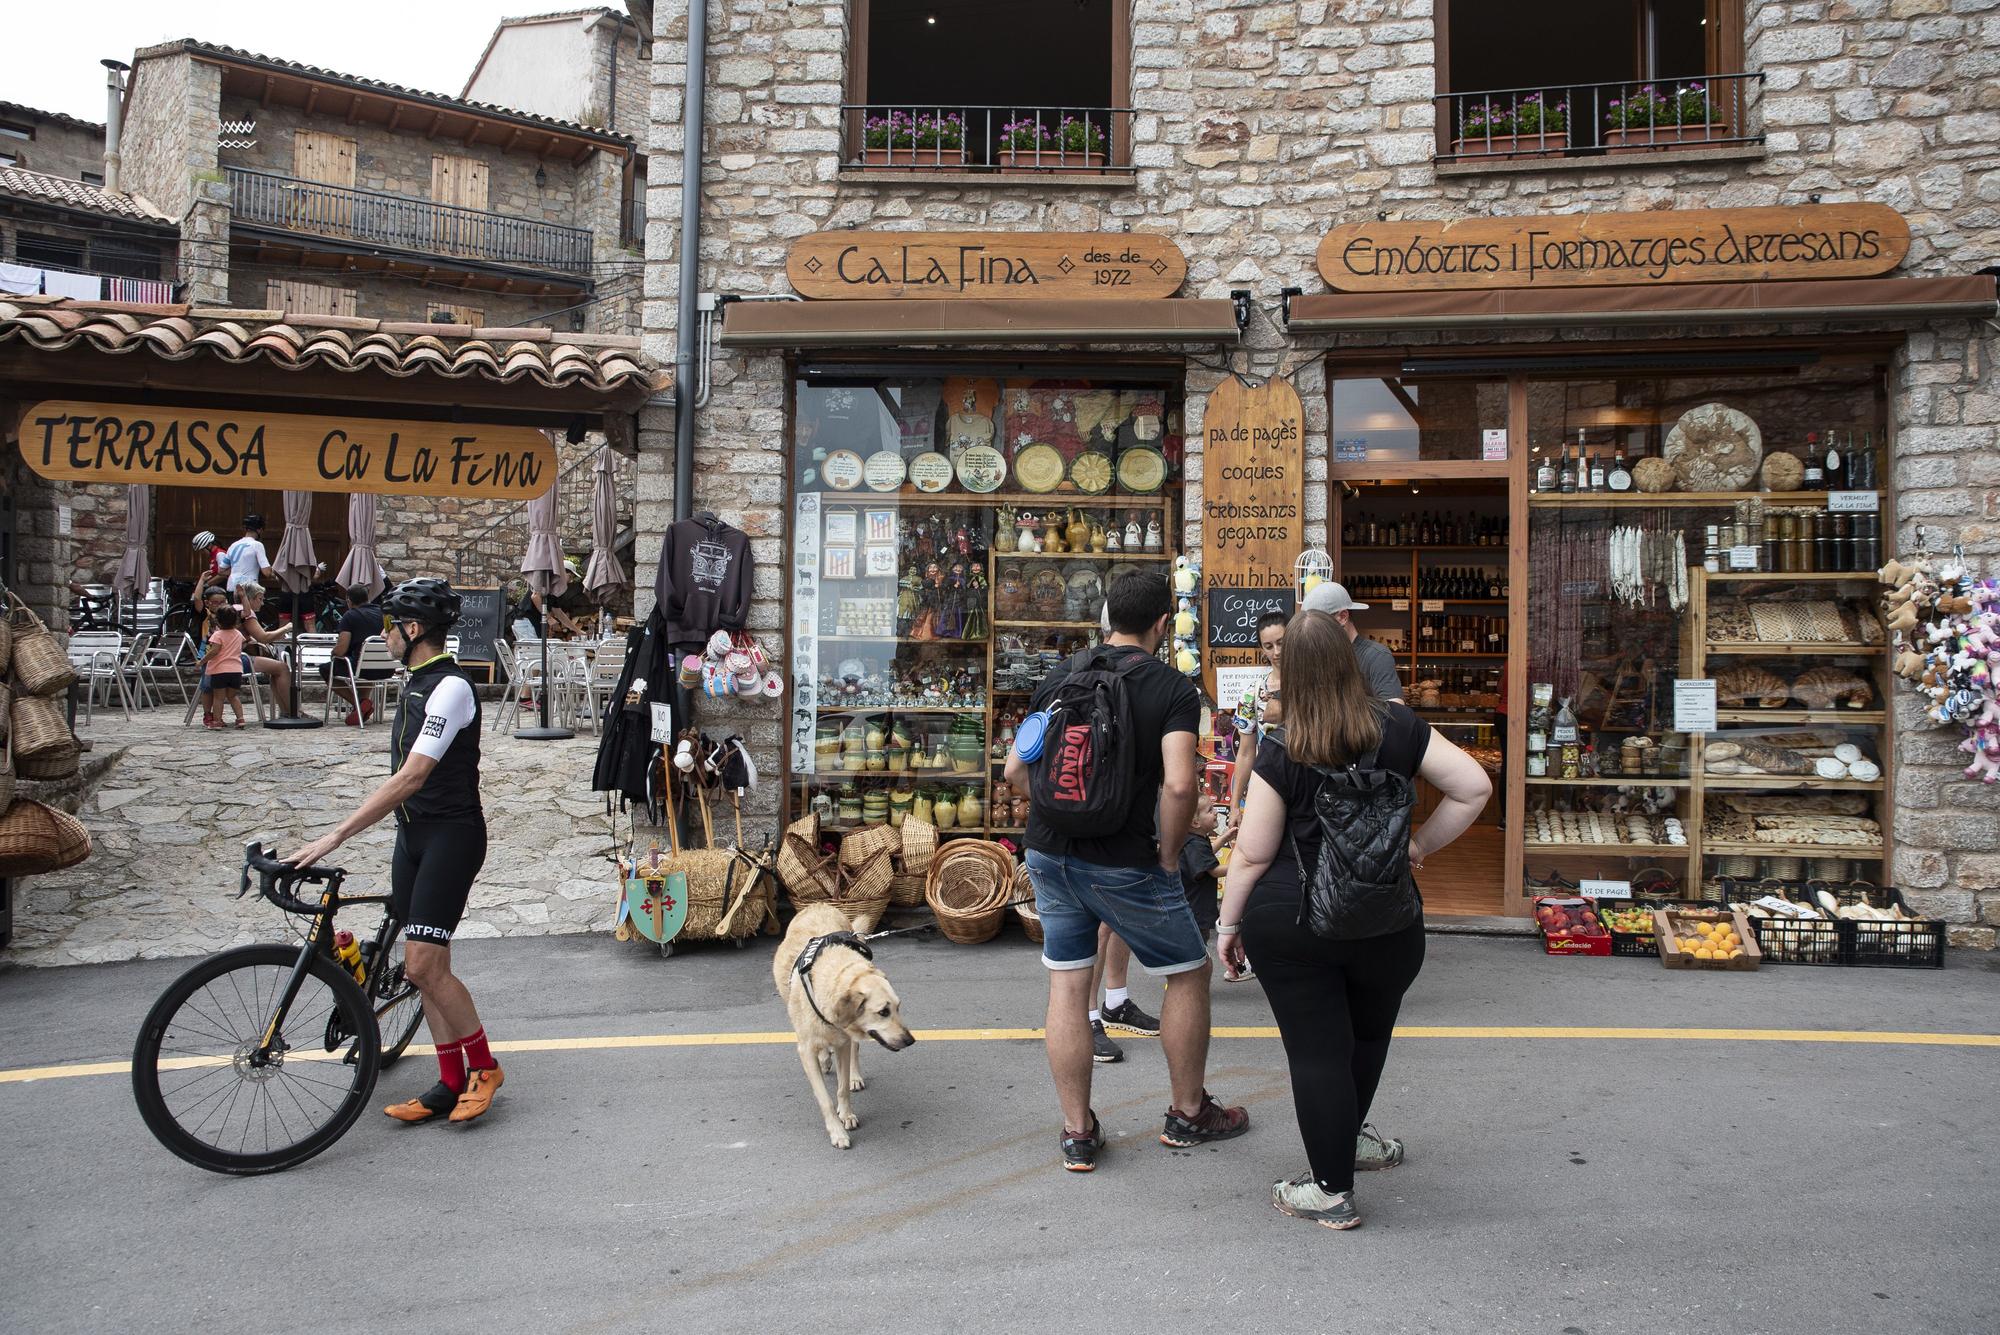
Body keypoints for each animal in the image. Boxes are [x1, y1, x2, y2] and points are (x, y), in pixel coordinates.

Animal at [768, 907, 916, 1151]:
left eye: (898, 1007)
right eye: (883, 1012)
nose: (910, 1040)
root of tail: (819, 904)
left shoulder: (843, 1043)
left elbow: (842, 1086)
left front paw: (846, 1114)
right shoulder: (806, 1051)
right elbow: (825, 1099)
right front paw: (837, 1132)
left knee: (855, 1050)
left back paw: (853, 1075)